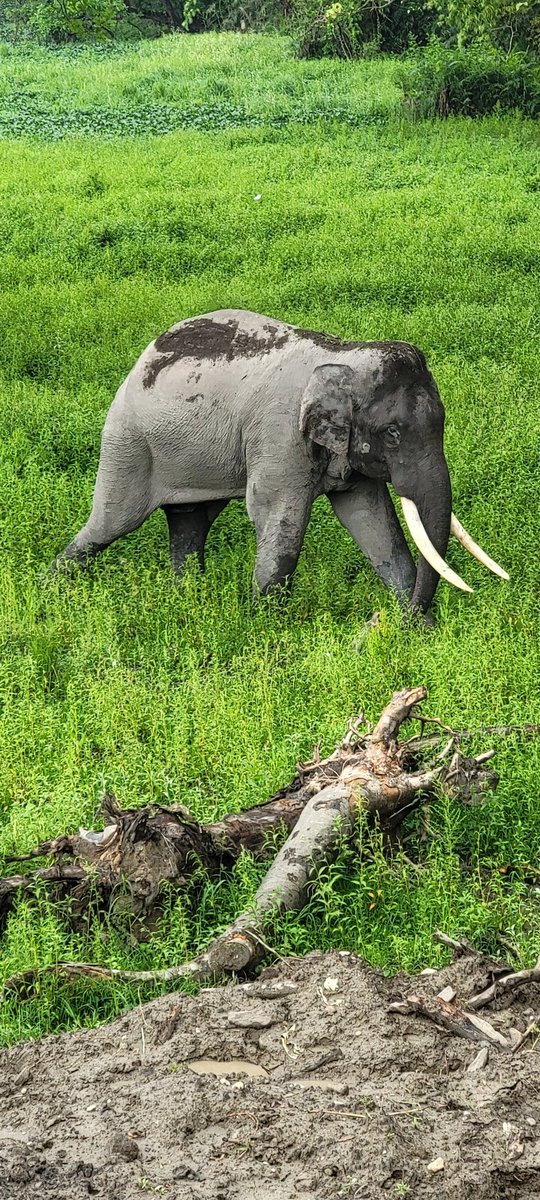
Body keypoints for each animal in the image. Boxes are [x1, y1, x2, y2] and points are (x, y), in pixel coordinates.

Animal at [49, 307, 506, 619]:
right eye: (392, 433)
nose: (406, 621)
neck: (345, 354)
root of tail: (143, 357)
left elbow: (372, 520)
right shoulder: (281, 436)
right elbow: (277, 515)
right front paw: (269, 630)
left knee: (190, 522)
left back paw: (189, 599)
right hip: (127, 442)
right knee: (111, 523)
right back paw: (52, 588)